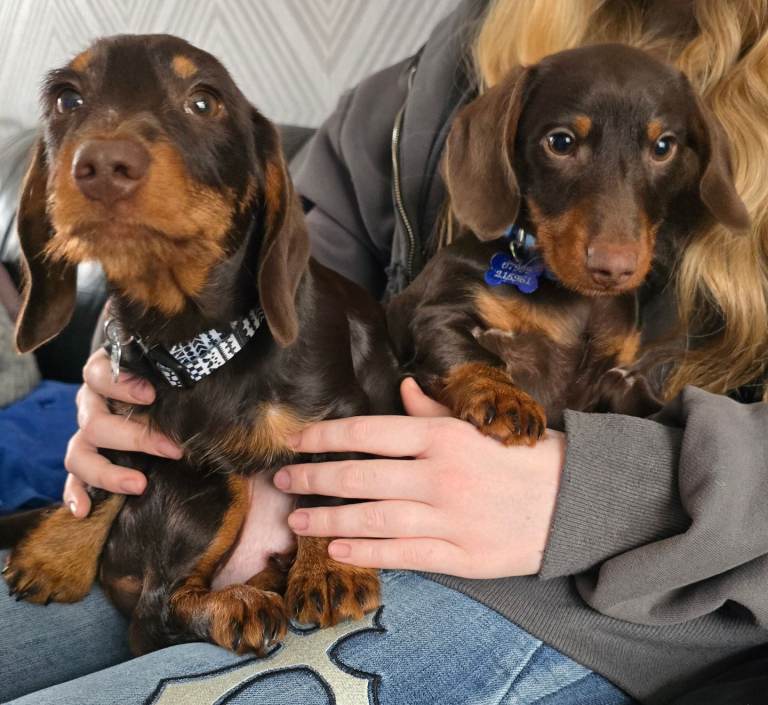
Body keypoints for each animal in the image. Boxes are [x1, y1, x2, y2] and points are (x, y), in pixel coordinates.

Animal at [2, 34, 401, 656]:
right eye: (68, 99)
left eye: (204, 102)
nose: (101, 167)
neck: (198, 343)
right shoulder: (127, 403)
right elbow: (106, 463)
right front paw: (59, 550)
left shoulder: (341, 417)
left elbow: (329, 494)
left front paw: (329, 569)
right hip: (217, 479)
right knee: (156, 612)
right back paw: (235, 604)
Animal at [387, 44, 750, 444]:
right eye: (561, 142)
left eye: (663, 146)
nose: (614, 269)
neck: (574, 299)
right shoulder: (439, 313)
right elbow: (472, 354)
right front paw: (503, 394)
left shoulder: (616, 376)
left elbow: (643, 401)